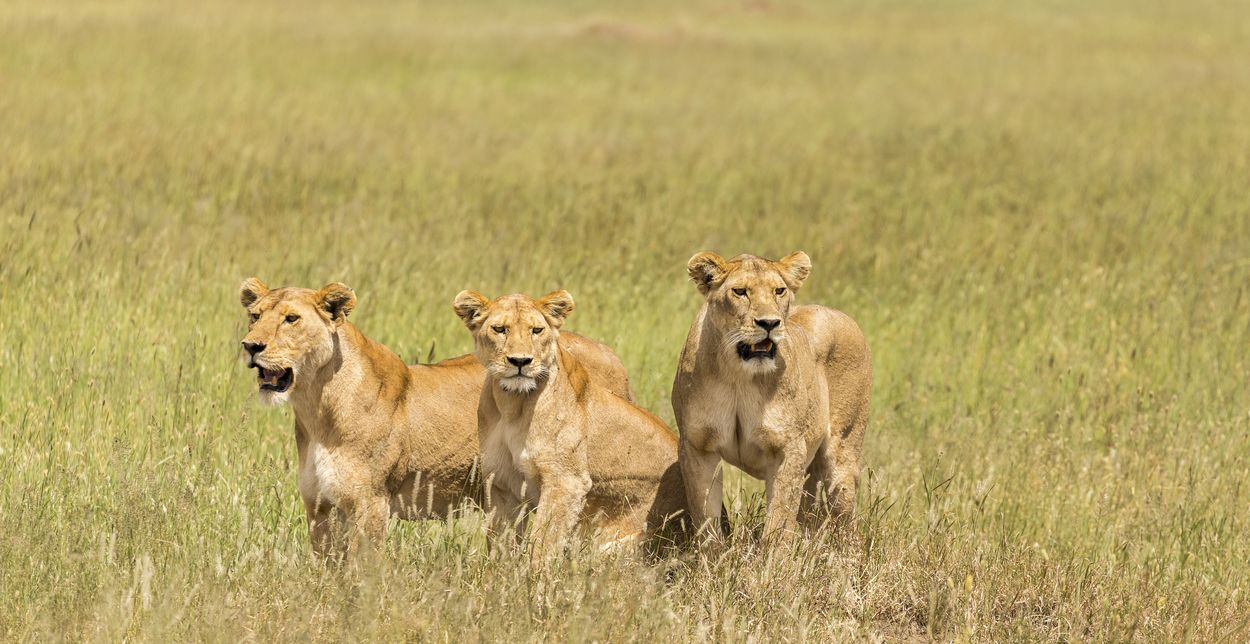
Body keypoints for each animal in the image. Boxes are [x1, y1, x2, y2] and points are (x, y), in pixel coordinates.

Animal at [238, 278, 633, 558]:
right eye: (255, 317)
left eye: (291, 319)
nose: (252, 346)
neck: (316, 407)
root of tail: (611, 354)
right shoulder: (319, 506)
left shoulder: (370, 503)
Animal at [453, 289, 689, 561]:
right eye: (500, 329)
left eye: (537, 330)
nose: (520, 361)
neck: (513, 405)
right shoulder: (502, 483)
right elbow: (503, 545)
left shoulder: (566, 481)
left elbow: (542, 543)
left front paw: (535, 573)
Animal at [671, 251, 872, 544]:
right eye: (740, 292)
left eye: (779, 291)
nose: (769, 323)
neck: (738, 376)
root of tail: (840, 314)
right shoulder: (698, 447)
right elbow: (706, 521)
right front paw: (713, 555)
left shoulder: (789, 449)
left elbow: (778, 524)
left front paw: (771, 557)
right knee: (811, 516)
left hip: (842, 455)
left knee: (846, 520)